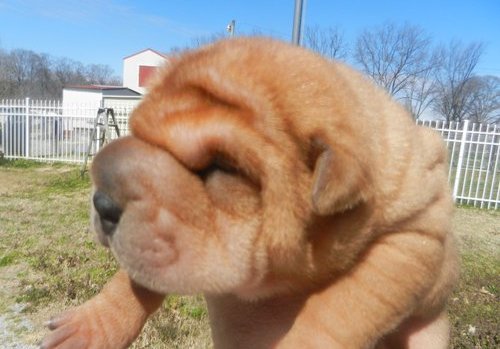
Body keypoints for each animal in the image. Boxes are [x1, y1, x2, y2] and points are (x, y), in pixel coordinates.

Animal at [42, 38, 458, 348]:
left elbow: (341, 305)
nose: (102, 204)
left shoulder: (417, 234)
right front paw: (90, 326)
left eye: (220, 167)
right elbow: (135, 278)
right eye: (137, 135)